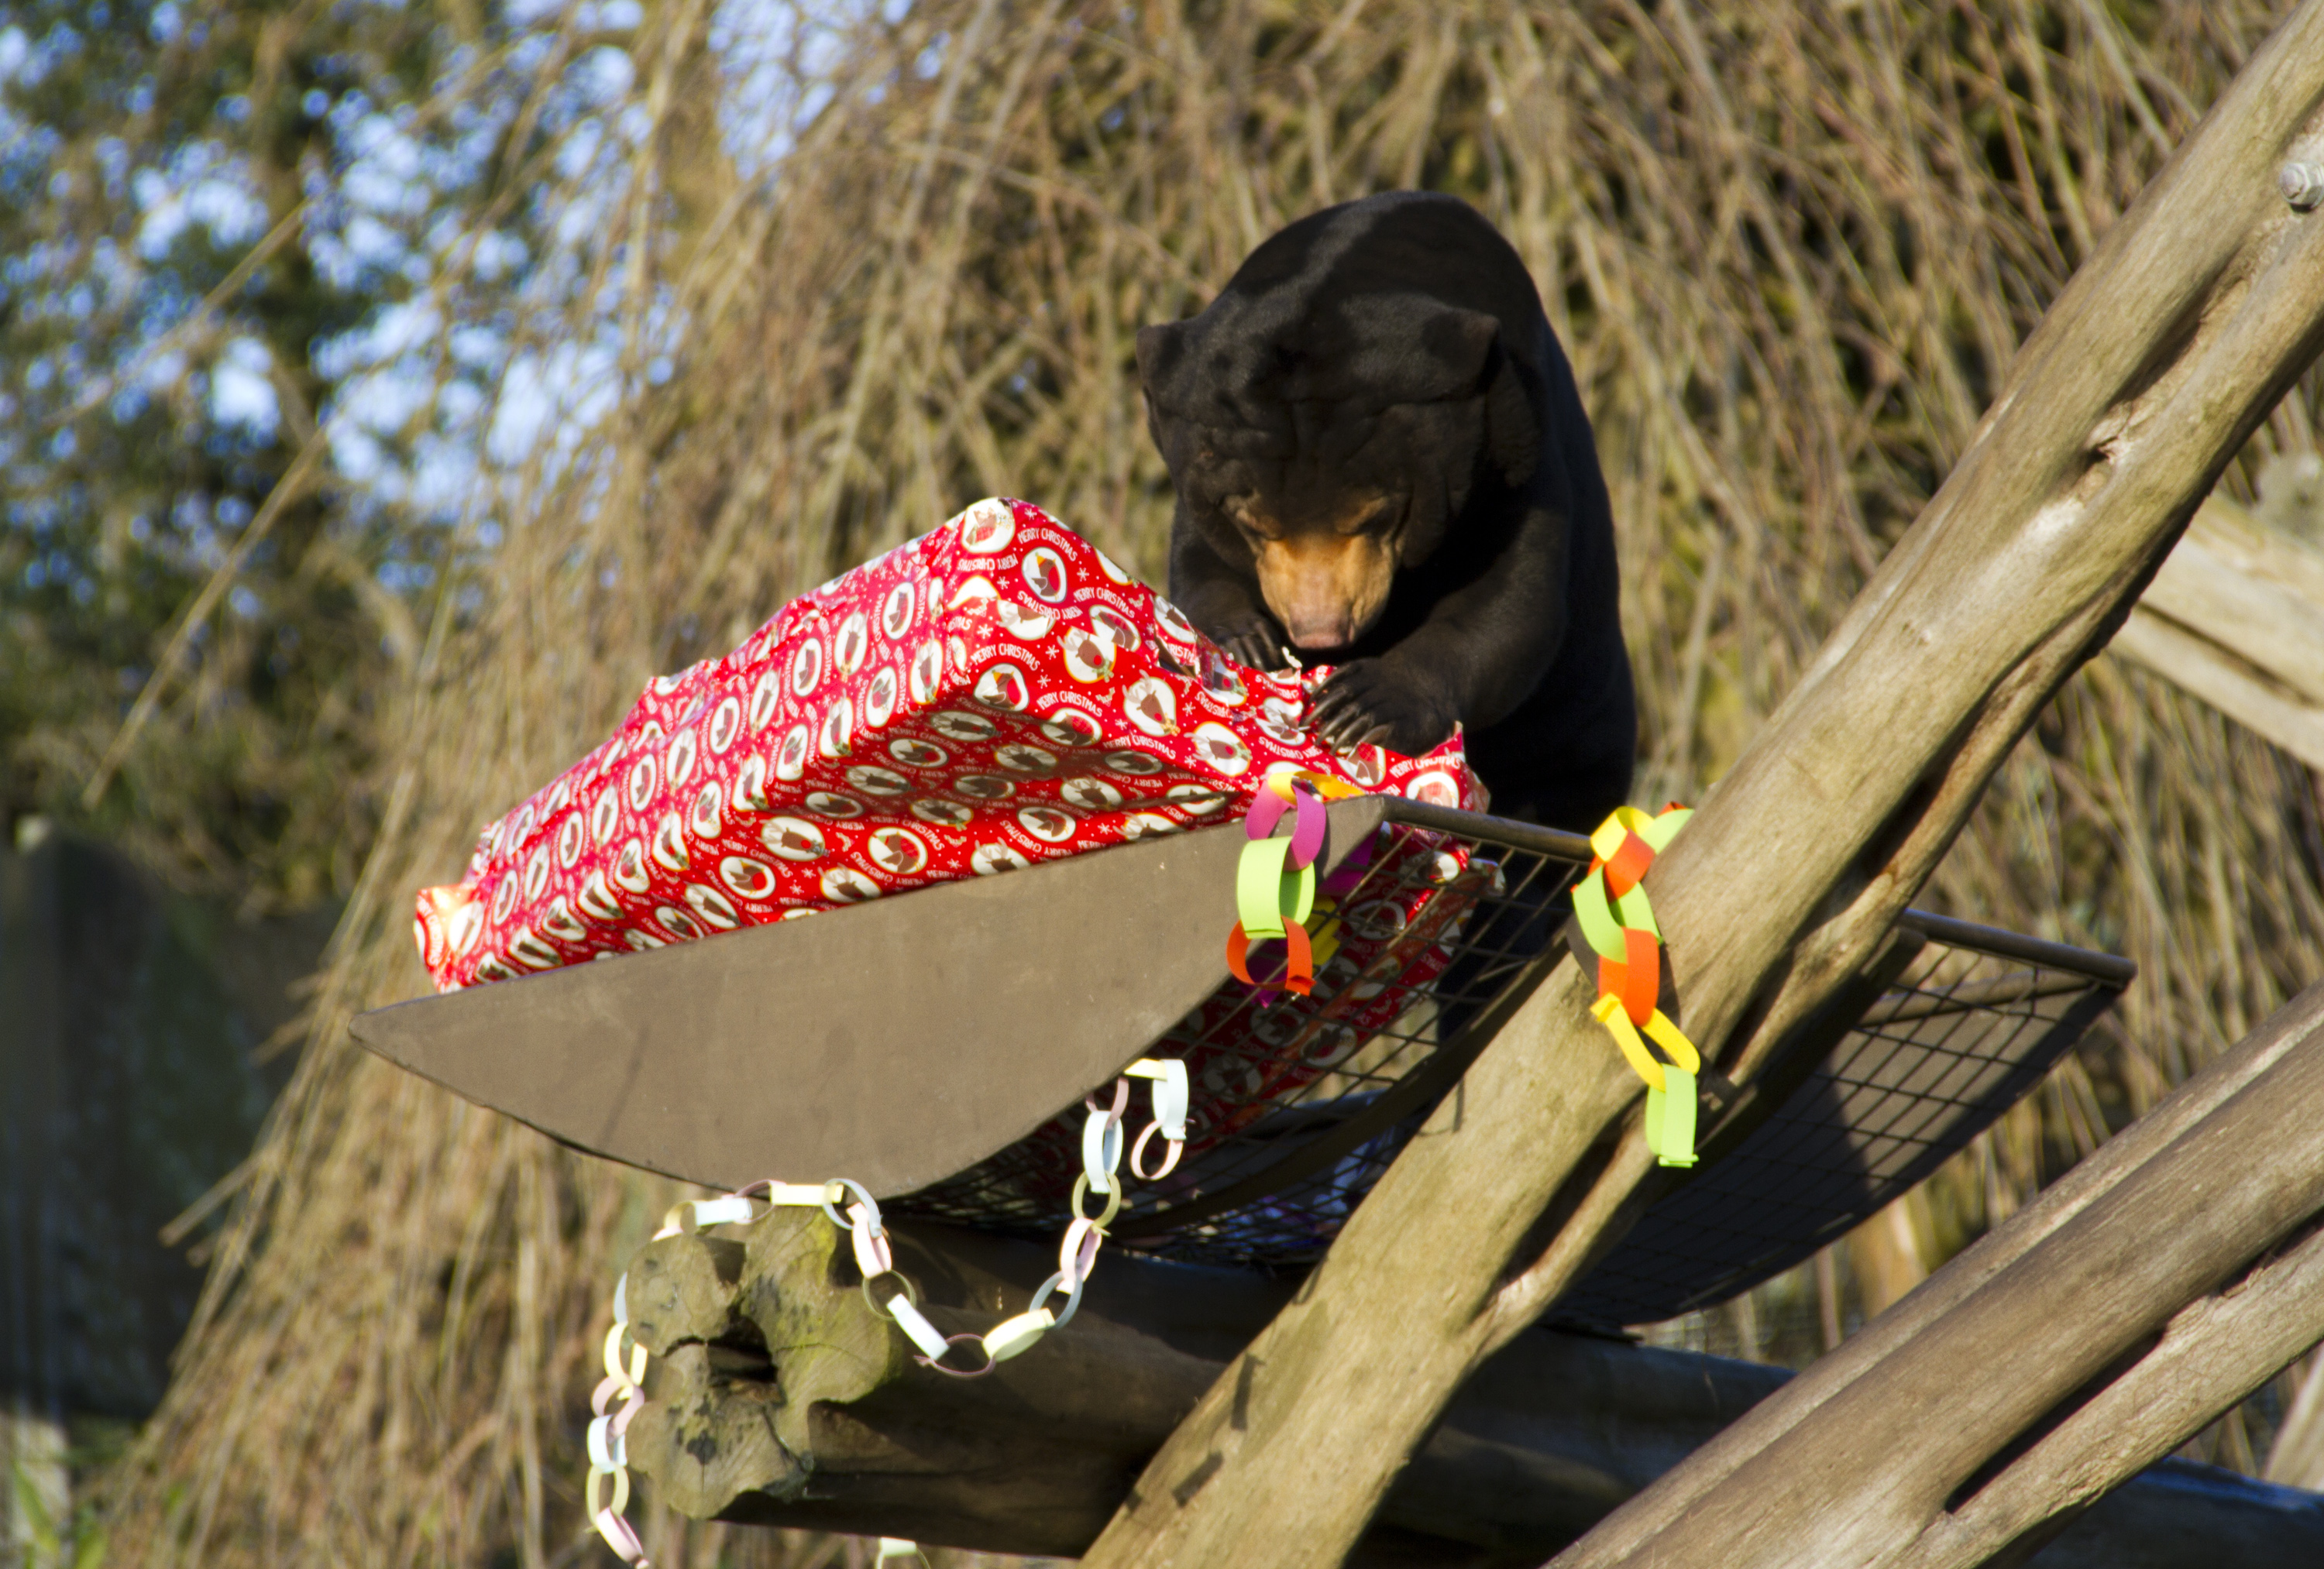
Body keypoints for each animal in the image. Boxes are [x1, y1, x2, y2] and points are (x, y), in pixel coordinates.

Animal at [1135, 190, 1636, 832]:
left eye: (1376, 518)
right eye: (1253, 525)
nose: (1321, 631)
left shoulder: (1519, 445)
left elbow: (1514, 603)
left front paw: (1360, 705)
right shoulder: (1195, 469)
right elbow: (1198, 563)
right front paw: (1246, 643)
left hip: (1579, 718)